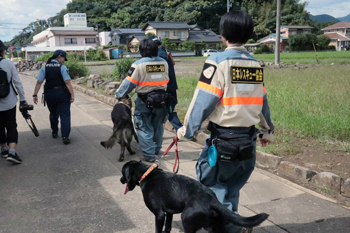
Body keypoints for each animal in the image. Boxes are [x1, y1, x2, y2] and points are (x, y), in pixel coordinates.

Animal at [120, 160, 268, 233]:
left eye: (122, 173)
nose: (121, 180)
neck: (147, 174)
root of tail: (212, 200)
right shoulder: (169, 213)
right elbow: (167, 228)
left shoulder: (160, 214)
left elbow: (158, 230)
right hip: (213, 226)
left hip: (187, 220)